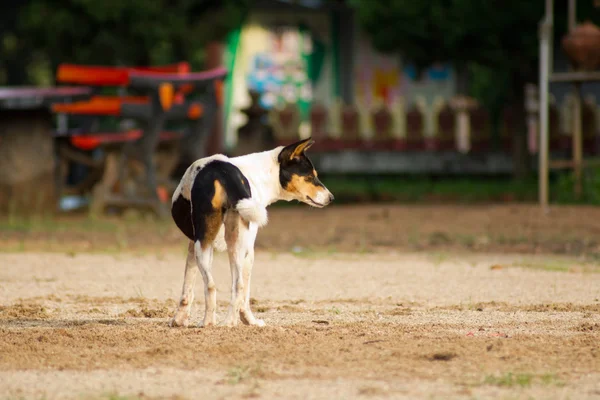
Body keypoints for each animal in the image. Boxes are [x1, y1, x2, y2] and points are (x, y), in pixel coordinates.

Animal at [168, 138, 332, 328]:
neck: (261, 174)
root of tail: (223, 171)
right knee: (238, 286)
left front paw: (179, 320)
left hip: (207, 245)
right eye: (310, 177)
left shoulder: (194, 245)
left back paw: (211, 322)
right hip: (235, 245)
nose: (331, 198)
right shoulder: (242, 249)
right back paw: (228, 322)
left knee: (213, 286)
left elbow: (188, 286)